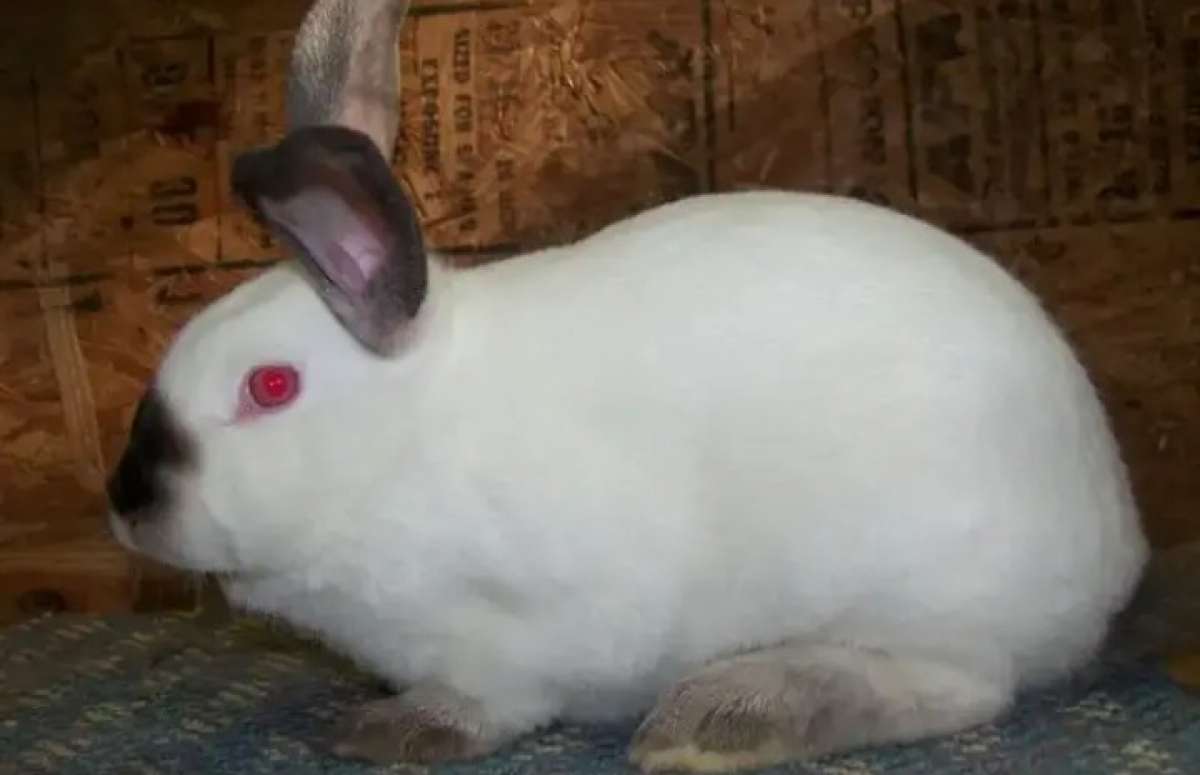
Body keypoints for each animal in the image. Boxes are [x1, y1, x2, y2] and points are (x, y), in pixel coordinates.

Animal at [105, 0, 1188, 771]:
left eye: (270, 386)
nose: (126, 505)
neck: (406, 442)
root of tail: (1118, 549)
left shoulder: (523, 637)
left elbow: (492, 702)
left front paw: (392, 732)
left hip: (926, 589)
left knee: (965, 689)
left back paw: (722, 718)